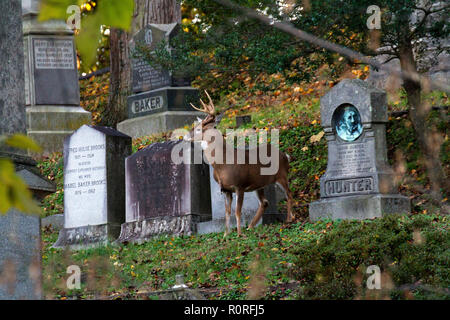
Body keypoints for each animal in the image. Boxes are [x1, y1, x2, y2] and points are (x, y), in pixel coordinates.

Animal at [185, 91, 294, 236]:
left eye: (197, 129)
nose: (185, 136)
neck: (222, 164)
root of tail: (285, 155)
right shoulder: (226, 190)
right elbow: (227, 212)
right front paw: (226, 234)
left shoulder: (239, 185)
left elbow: (237, 211)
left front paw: (239, 234)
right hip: (260, 183)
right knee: (265, 202)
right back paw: (251, 226)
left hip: (282, 175)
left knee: (289, 194)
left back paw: (289, 219)